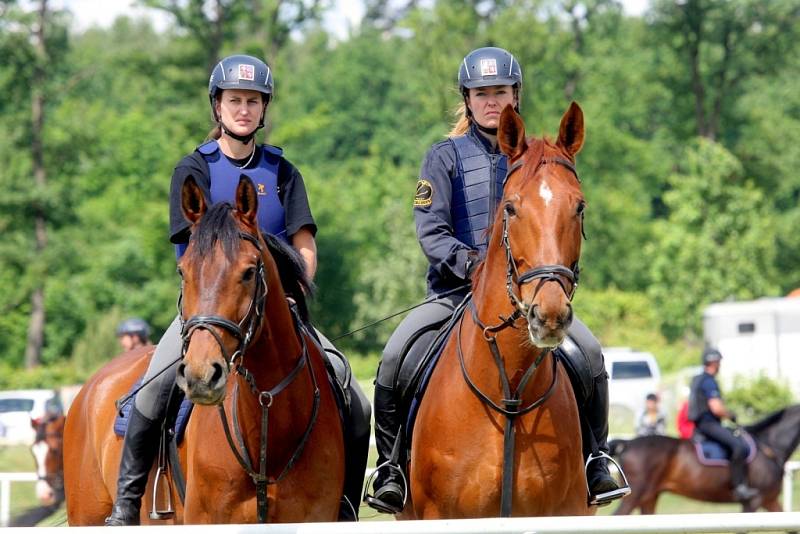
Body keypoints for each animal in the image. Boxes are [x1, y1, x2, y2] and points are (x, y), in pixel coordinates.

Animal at [608, 408, 800, 516]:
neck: (768, 445)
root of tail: (627, 443)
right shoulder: (753, 501)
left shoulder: (770, 500)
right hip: (636, 495)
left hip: (650, 496)